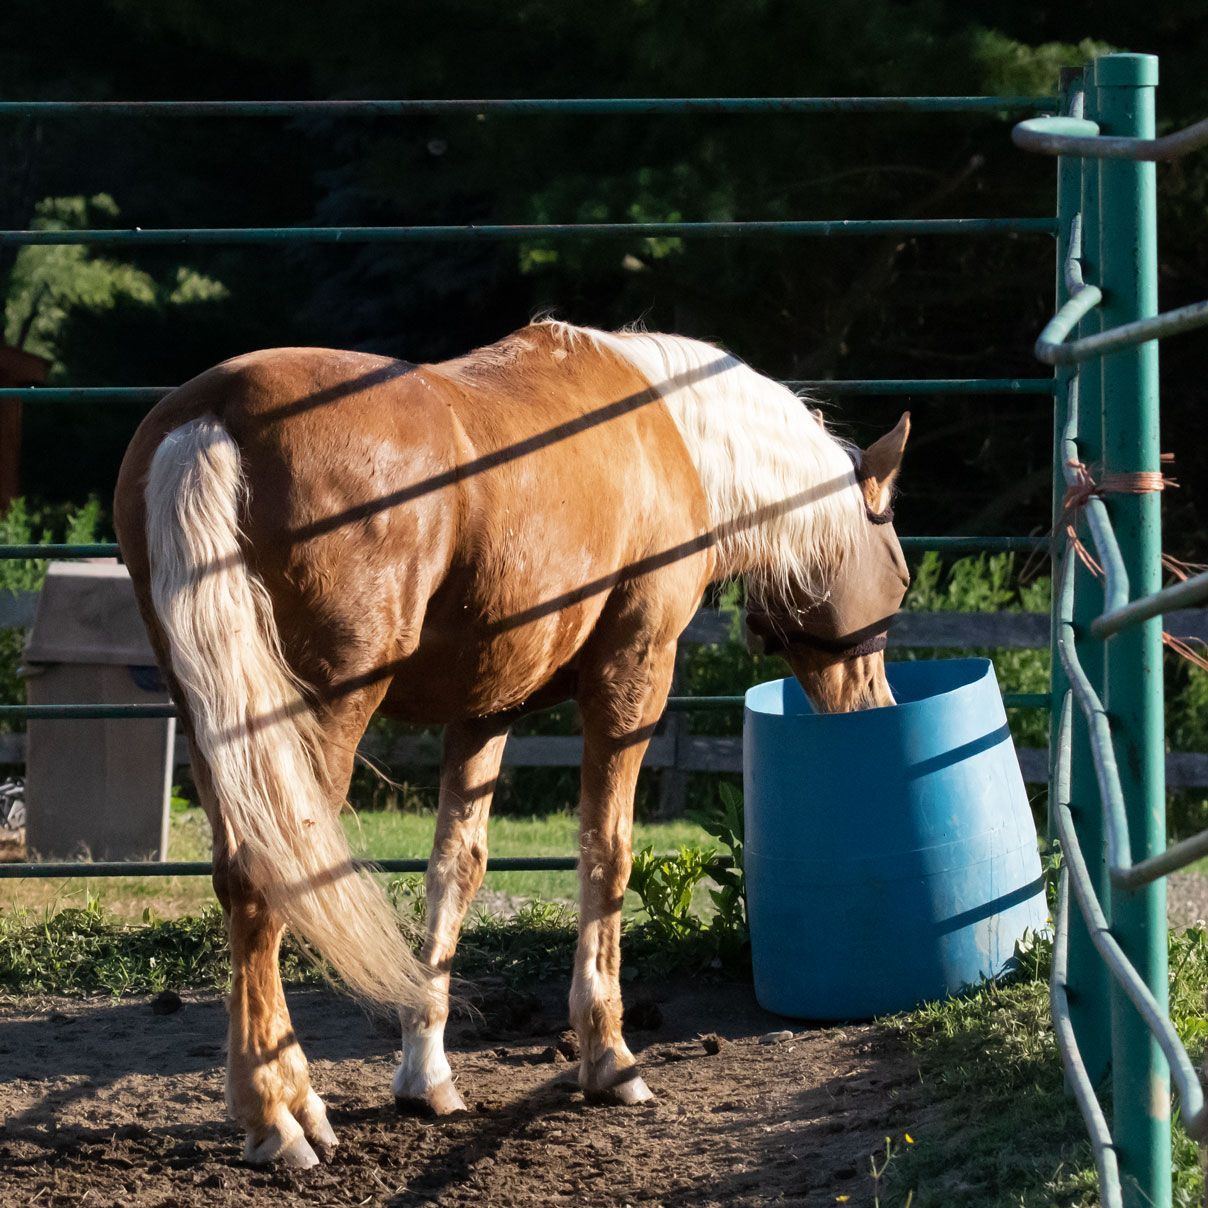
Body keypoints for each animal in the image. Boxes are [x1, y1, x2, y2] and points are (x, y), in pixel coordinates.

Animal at [113, 319, 911, 1169]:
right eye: (898, 574)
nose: (872, 707)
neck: (672, 432)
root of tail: (214, 413)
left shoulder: (486, 710)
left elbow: (454, 869)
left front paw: (426, 1075)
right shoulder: (633, 679)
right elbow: (606, 851)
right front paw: (609, 1057)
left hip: (218, 723)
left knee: (239, 880)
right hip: (316, 719)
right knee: (271, 879)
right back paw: (278, 1119)